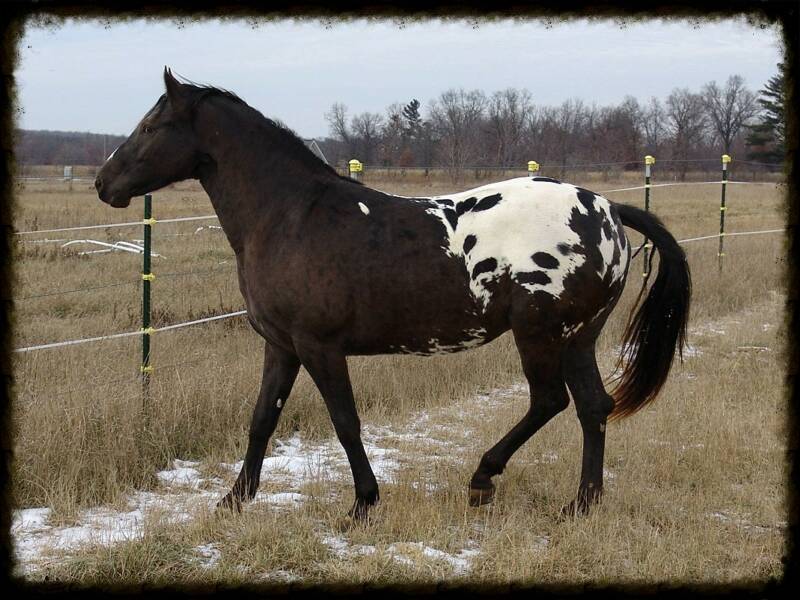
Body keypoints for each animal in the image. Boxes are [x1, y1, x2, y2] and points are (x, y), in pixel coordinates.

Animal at [97, 69, 692, 520]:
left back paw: (484, 478)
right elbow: (263, 418)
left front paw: (363, 503)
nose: (105, 184)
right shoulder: (282, 346)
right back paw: (580, 505)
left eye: (151, 124)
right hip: (578, 338)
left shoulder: (318, 346)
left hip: (540, 333)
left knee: (551, 401)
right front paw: (233, 500)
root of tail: (609, 210)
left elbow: (345, 421)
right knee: (594, 407)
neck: (292, 216)